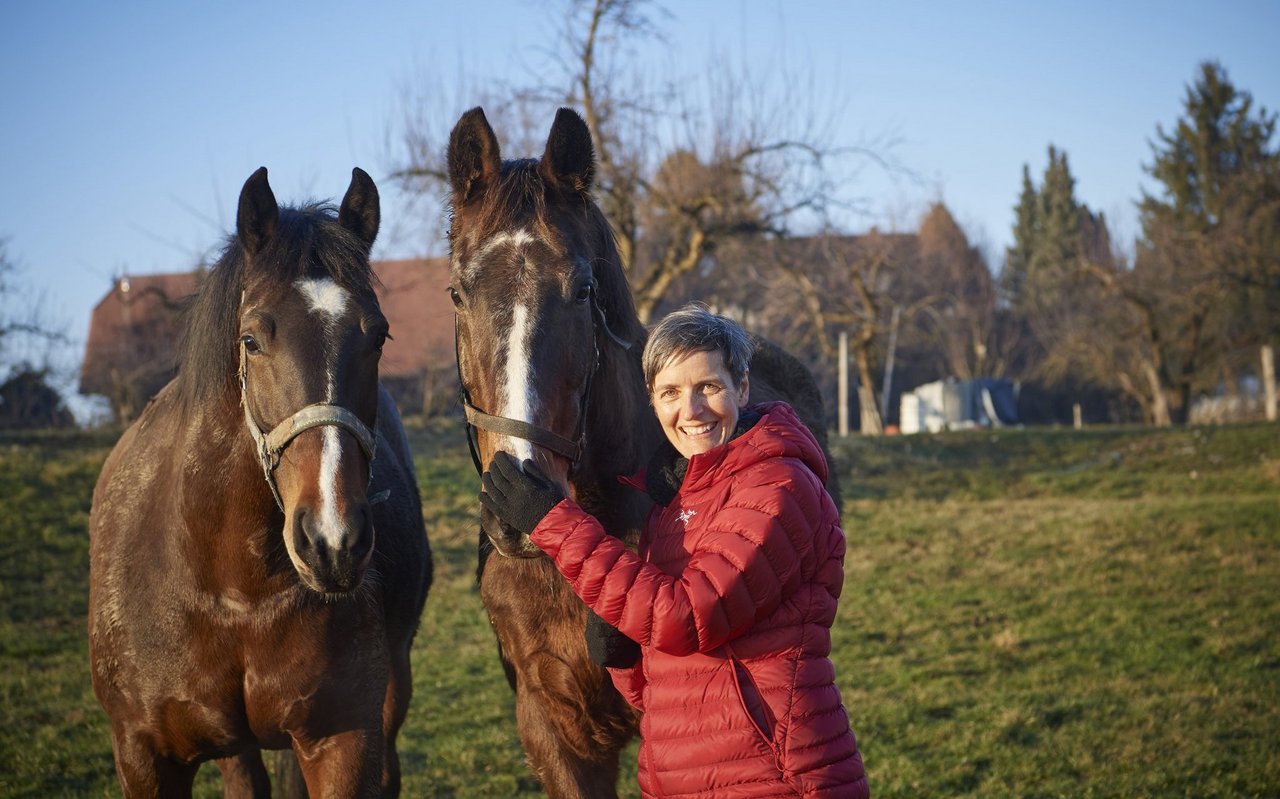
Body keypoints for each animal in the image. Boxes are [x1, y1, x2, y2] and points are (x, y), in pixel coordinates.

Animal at [88, 165, 435, 793]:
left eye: (379, 336)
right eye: (251, 340)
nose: (333, 541)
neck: (230, 591)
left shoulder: (343, 741)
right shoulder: (142, 755)